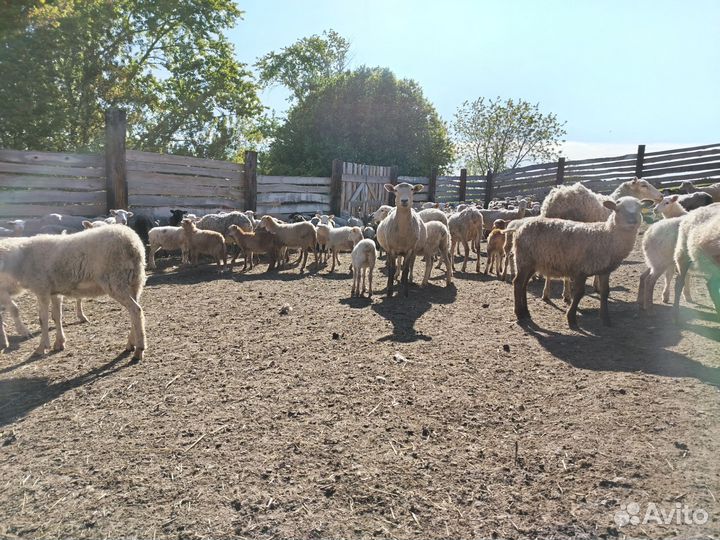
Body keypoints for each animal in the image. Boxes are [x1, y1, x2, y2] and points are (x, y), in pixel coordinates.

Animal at [0, 226, 146, 360]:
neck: (22, 259)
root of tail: (133, 244)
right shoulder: (54, 292)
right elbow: (57, 316)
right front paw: (59, 343)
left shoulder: (42, 289)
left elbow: (43, 319)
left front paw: (42, 347)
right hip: (135, 281)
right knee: (136, 311)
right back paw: (131, 343)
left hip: (115, 280)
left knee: (135, 310)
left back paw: (139, 348)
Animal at [513, 197, 644, 328]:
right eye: (618, 209)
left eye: (639, 208)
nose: (632, 221)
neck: (607, 234)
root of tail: (521, 227)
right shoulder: (582, 269)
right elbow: (579, 293)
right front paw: (571, 318)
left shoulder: (604, 271)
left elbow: (605, 292)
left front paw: (605, 319)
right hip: (523, 260)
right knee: (518, 283)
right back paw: (519, 314)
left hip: (532, 263)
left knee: (524, 285)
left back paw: (526, 312)